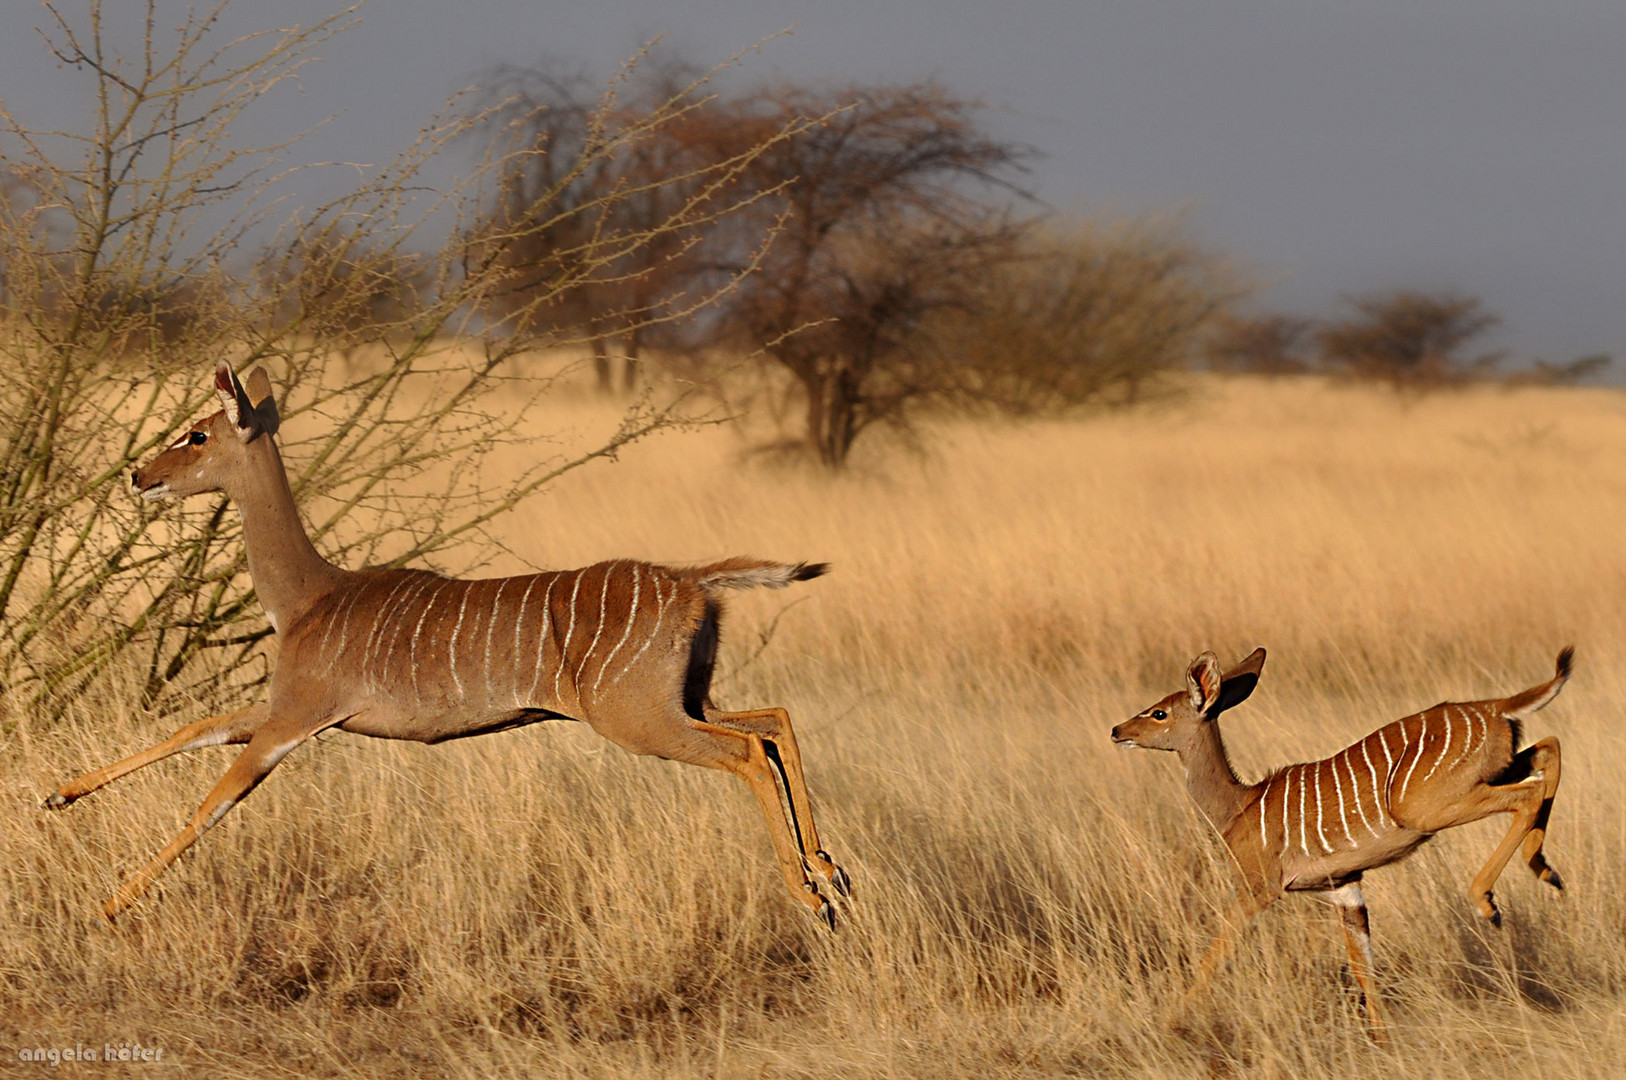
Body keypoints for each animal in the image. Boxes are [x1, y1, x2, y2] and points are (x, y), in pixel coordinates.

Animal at [44, 367, 852, 923]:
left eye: (197, 434)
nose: (138, 475)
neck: (309, 597)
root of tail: (689, 580)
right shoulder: (281, 712)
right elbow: (196, 728)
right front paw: (57, 794)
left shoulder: (294, 720)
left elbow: (211, 803)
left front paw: (109, 904)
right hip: (687, 699)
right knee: (774, 723)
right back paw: (830, 869)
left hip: (640, 720)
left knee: (746, 752)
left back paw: (813, 898)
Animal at [1112, 644, 1567, 1040]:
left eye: (1158, 713)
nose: (1117, 730)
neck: (1239, 807)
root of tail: (1495, 708)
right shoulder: (1346, 888)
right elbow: (1363, 964)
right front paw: (1382, 1041)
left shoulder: (1258, 888)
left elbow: (1213, 955)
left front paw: (1169, 1020)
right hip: (1495, 770)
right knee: (1548, 751)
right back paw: (1548, 871)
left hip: (1428, 807)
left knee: (1529, 791)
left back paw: (1489, 901)